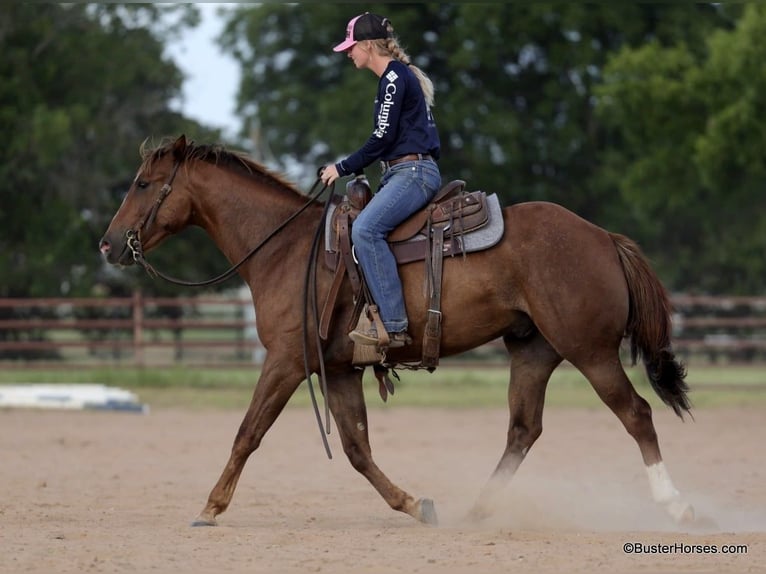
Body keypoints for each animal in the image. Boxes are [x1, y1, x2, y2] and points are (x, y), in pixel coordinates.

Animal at [97, 134, 696, 528]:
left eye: (143, 183)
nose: (107, 245)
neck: (286, 250)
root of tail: (603, 238)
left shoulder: (286, 361)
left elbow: (249, 432)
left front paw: (210, 506)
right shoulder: (338, 370)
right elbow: (357, 447)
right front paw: (414, 504)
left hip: (590, 352)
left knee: (636, 414)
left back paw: (676, 505)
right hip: (534, 351)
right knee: (523, 430)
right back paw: (477, 510)